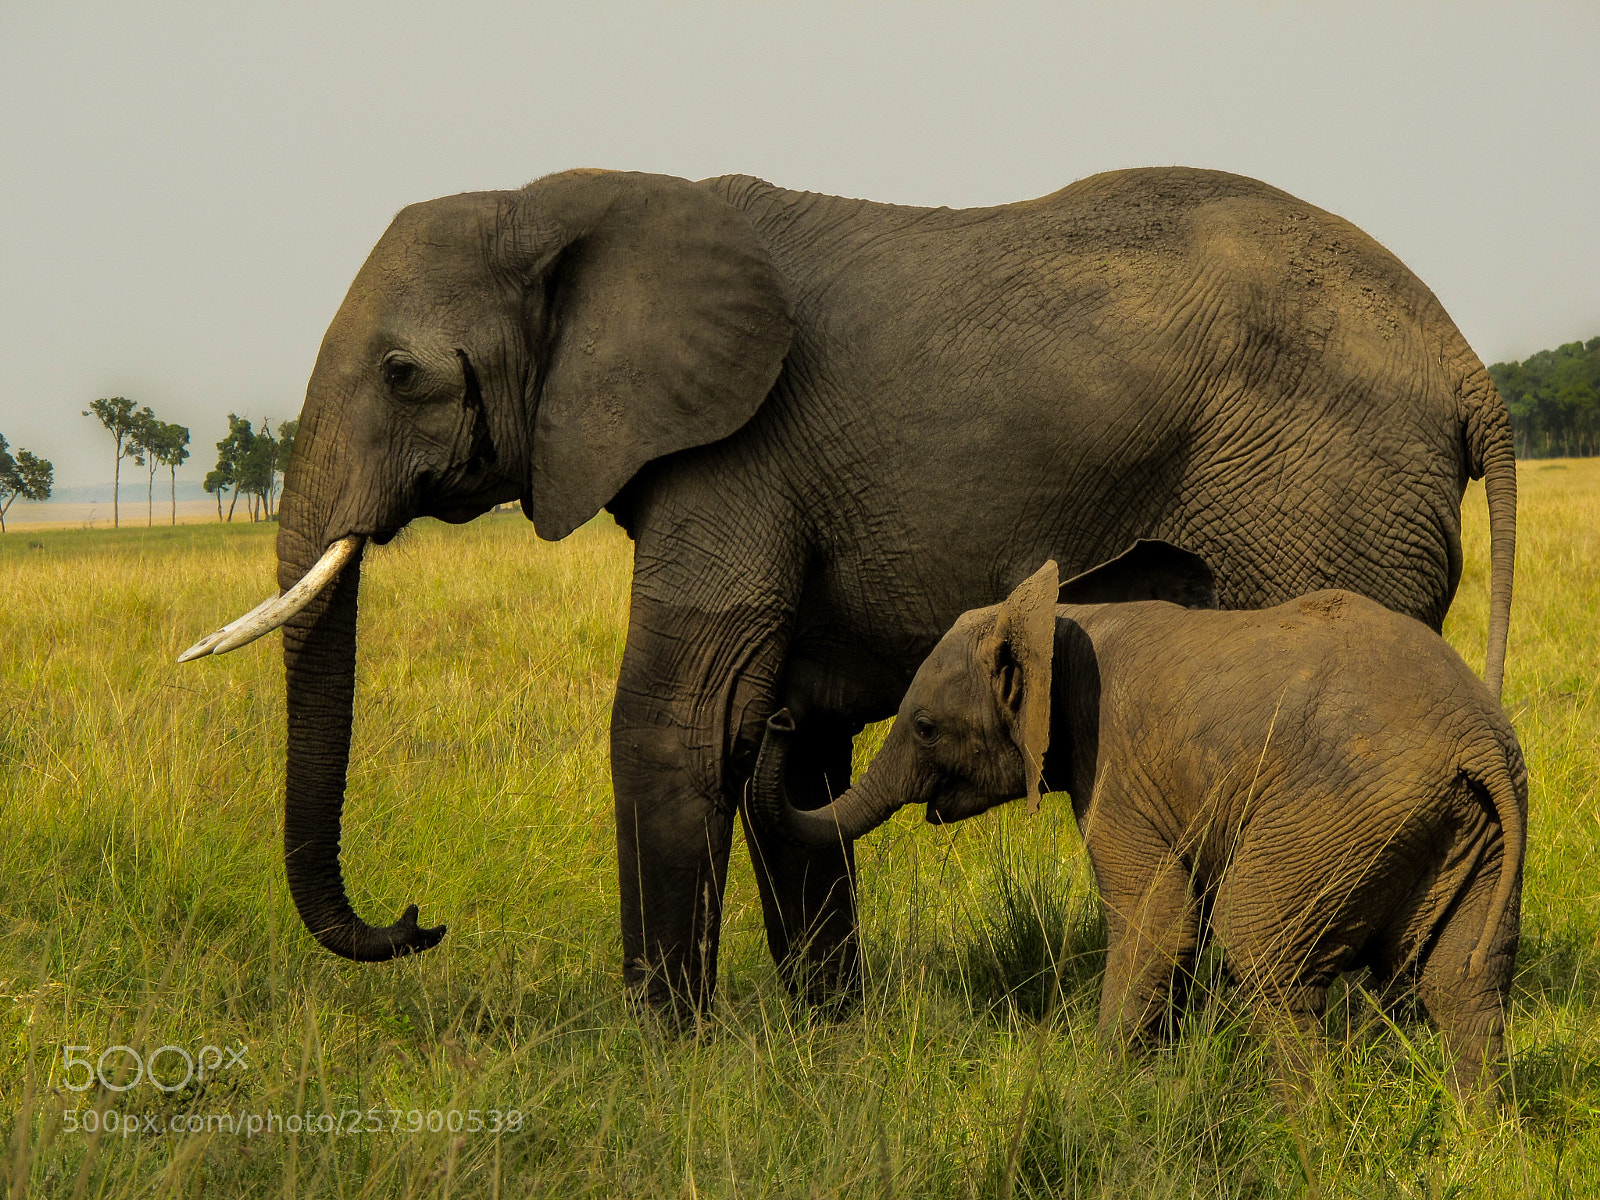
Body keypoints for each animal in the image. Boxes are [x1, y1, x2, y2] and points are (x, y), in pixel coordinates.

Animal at [181, 164, 1516, 1036]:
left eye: (404, 374)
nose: (419, 921)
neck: (568, 197)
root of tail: (1463, 362)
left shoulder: (737, 455)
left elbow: (676, 722)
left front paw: (664, 1054)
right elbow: (785, 751)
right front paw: (827, 1037)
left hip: (1324, 498)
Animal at [748, 544, 1523, 1100]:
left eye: (926, 728)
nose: (782, 713)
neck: (1057, 622)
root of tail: (1476, 738)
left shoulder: (1114, 766)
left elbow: (1159, 921)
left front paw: (1099, 1088)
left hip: (1338, 814)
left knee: (1265, 951)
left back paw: (1300, 1130)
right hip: (1469, 830)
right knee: (1463, 981)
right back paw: (1476, 1136)